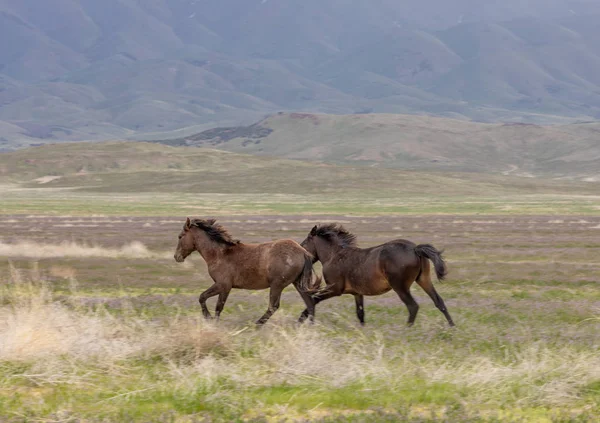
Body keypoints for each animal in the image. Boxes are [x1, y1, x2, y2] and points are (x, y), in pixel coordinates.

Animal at [173, 219, 318, 324]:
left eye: (180, 236)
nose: (176, 257)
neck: (219, 254)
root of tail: (303, 252)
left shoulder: (224, 286)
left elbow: (214, 304)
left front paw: (210, 320)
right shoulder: (222, 286)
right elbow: (205, 298)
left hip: (277, 285)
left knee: (273, 306)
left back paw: (257, 325)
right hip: (297, 283)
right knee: (310, 303)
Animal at [300, 225, 454, 328]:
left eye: (305, 242)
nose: (301, 253)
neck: (334, 255)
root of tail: (415, 249)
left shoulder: (334, 289)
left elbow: (314, 300)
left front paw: (303, 319)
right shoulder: (357, 293)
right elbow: (360, 313)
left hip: (400, 287)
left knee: (413, 306)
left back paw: (407, 330)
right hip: (423, 280)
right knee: (439, 302)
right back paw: (452, 327)